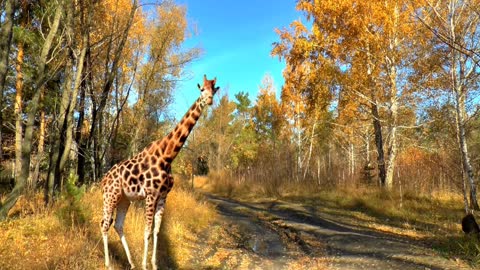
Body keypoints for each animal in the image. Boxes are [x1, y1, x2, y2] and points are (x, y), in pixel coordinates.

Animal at [101, 75, 221, 268]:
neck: (167, 156)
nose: (209, 100)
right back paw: (109, 264)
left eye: (214, 90)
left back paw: (131, 263)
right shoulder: (151, 194)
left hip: (124, 199)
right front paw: (145, 265)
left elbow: (156, 231)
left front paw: (154, 264)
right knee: (104, 224)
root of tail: (103, 180)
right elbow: (147, 231)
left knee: (117, 225)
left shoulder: (163, 195)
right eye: (202, 89)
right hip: (110, 196)